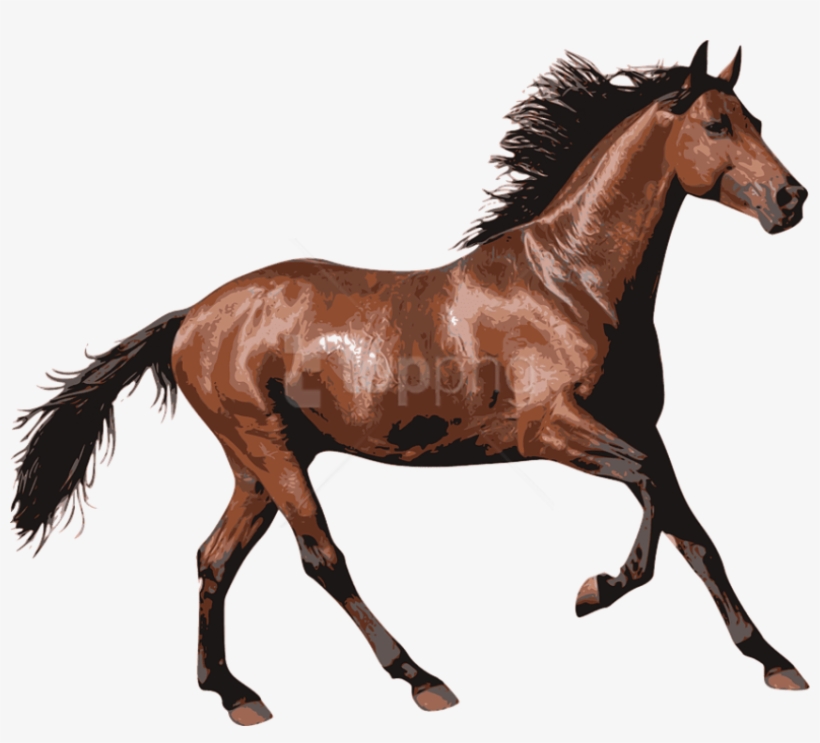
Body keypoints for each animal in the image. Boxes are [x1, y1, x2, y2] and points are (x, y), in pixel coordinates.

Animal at [12, 41, 810, 726]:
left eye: (758, 121)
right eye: (715, 123)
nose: (791, 198)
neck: (572, 283)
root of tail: (190, 317)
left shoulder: (643, 426)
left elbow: (693, 532)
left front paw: (774, 661)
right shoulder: (553, 430)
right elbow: (648, 494)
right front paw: (595, 591)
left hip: (255, 465)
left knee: (215, 558)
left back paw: (234, 693)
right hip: (270, 450)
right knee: (321, 558)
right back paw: (421, 677)